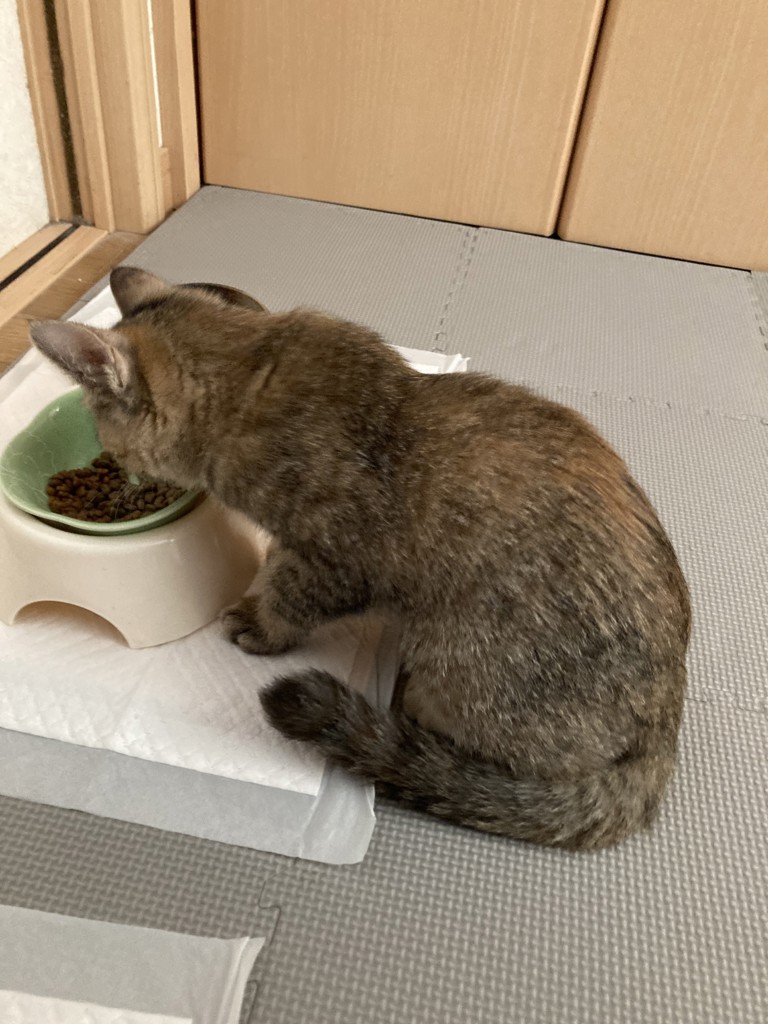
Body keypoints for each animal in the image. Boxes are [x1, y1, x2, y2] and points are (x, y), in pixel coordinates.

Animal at [29, 265, 691, 850]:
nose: (119, 472)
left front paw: (259, 620)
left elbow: (288, 594)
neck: (252, 374)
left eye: (108, 441)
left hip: (454, 657)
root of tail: (661, 741)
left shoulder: (336, 560)